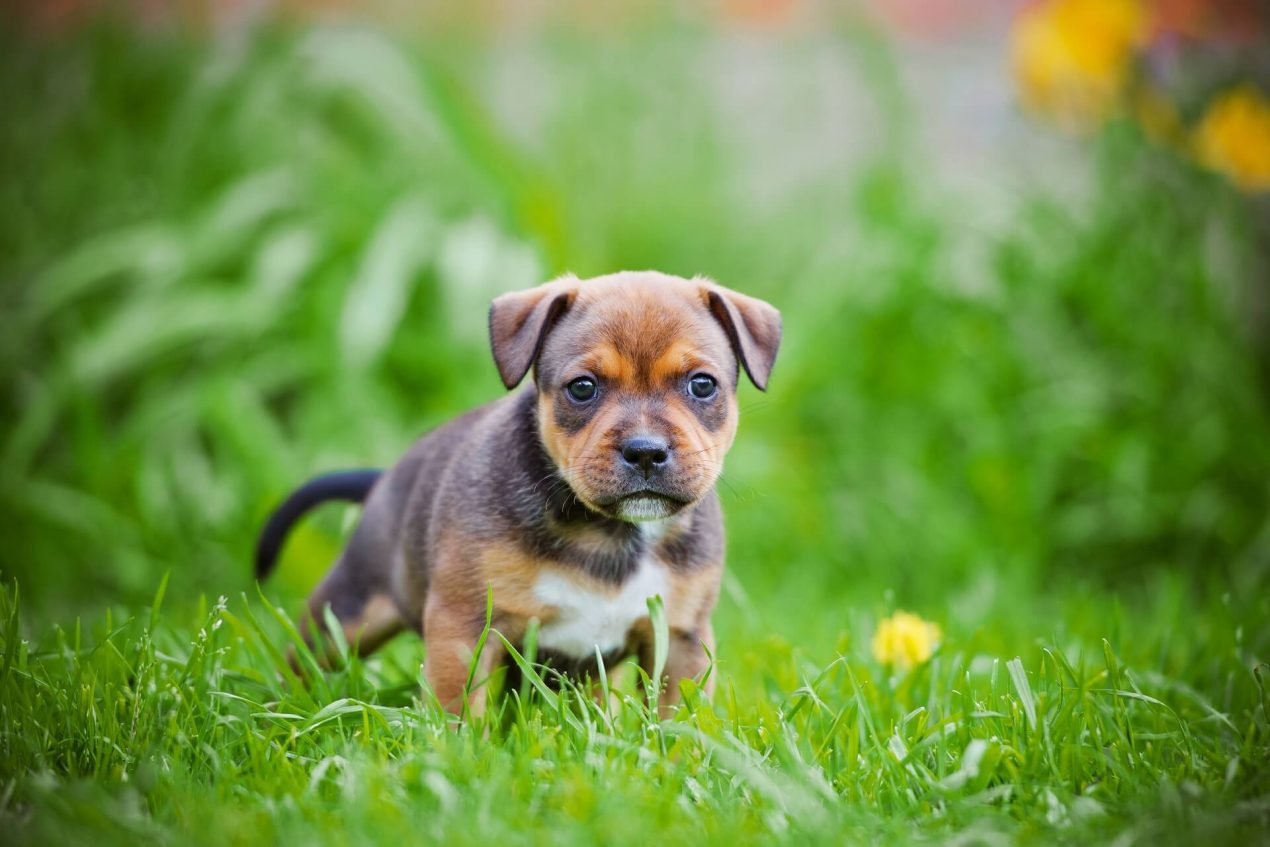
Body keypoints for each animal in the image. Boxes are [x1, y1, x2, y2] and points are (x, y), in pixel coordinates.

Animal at [252, 270, 777, 716]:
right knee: (303, 662)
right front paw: (457, 755)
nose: (645, 451)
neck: (609, 532)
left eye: (702, 385)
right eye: (582, 388)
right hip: (344, 614)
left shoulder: (683, 641)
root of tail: (385, 478)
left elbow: (677, 721)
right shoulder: (463, 627)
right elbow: (458, 713)